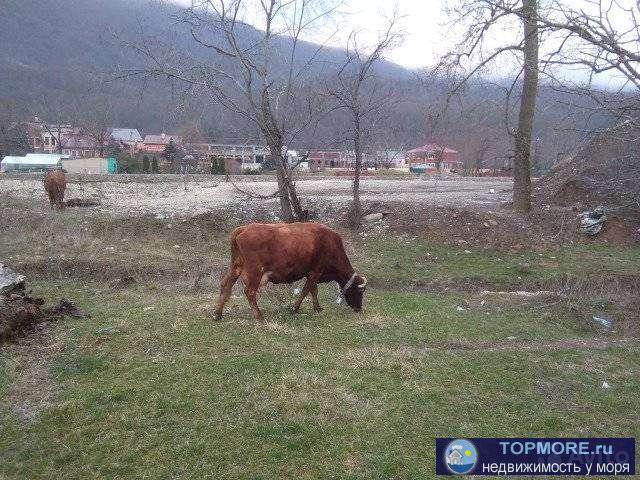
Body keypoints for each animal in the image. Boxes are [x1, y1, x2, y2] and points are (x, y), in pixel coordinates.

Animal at [214, 222, 364, 322]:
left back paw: (218, 314)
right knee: (249, 292)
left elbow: (313, 291)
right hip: (254, 271)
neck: (330, 243)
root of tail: (243, 229)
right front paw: (295, 308)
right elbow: (306, 291)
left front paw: (317, 308)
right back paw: (259, 316)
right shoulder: (315, 272)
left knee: (225, 286)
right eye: (359, 291)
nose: (359, 308)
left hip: (236, 267)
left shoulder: (312, 273)